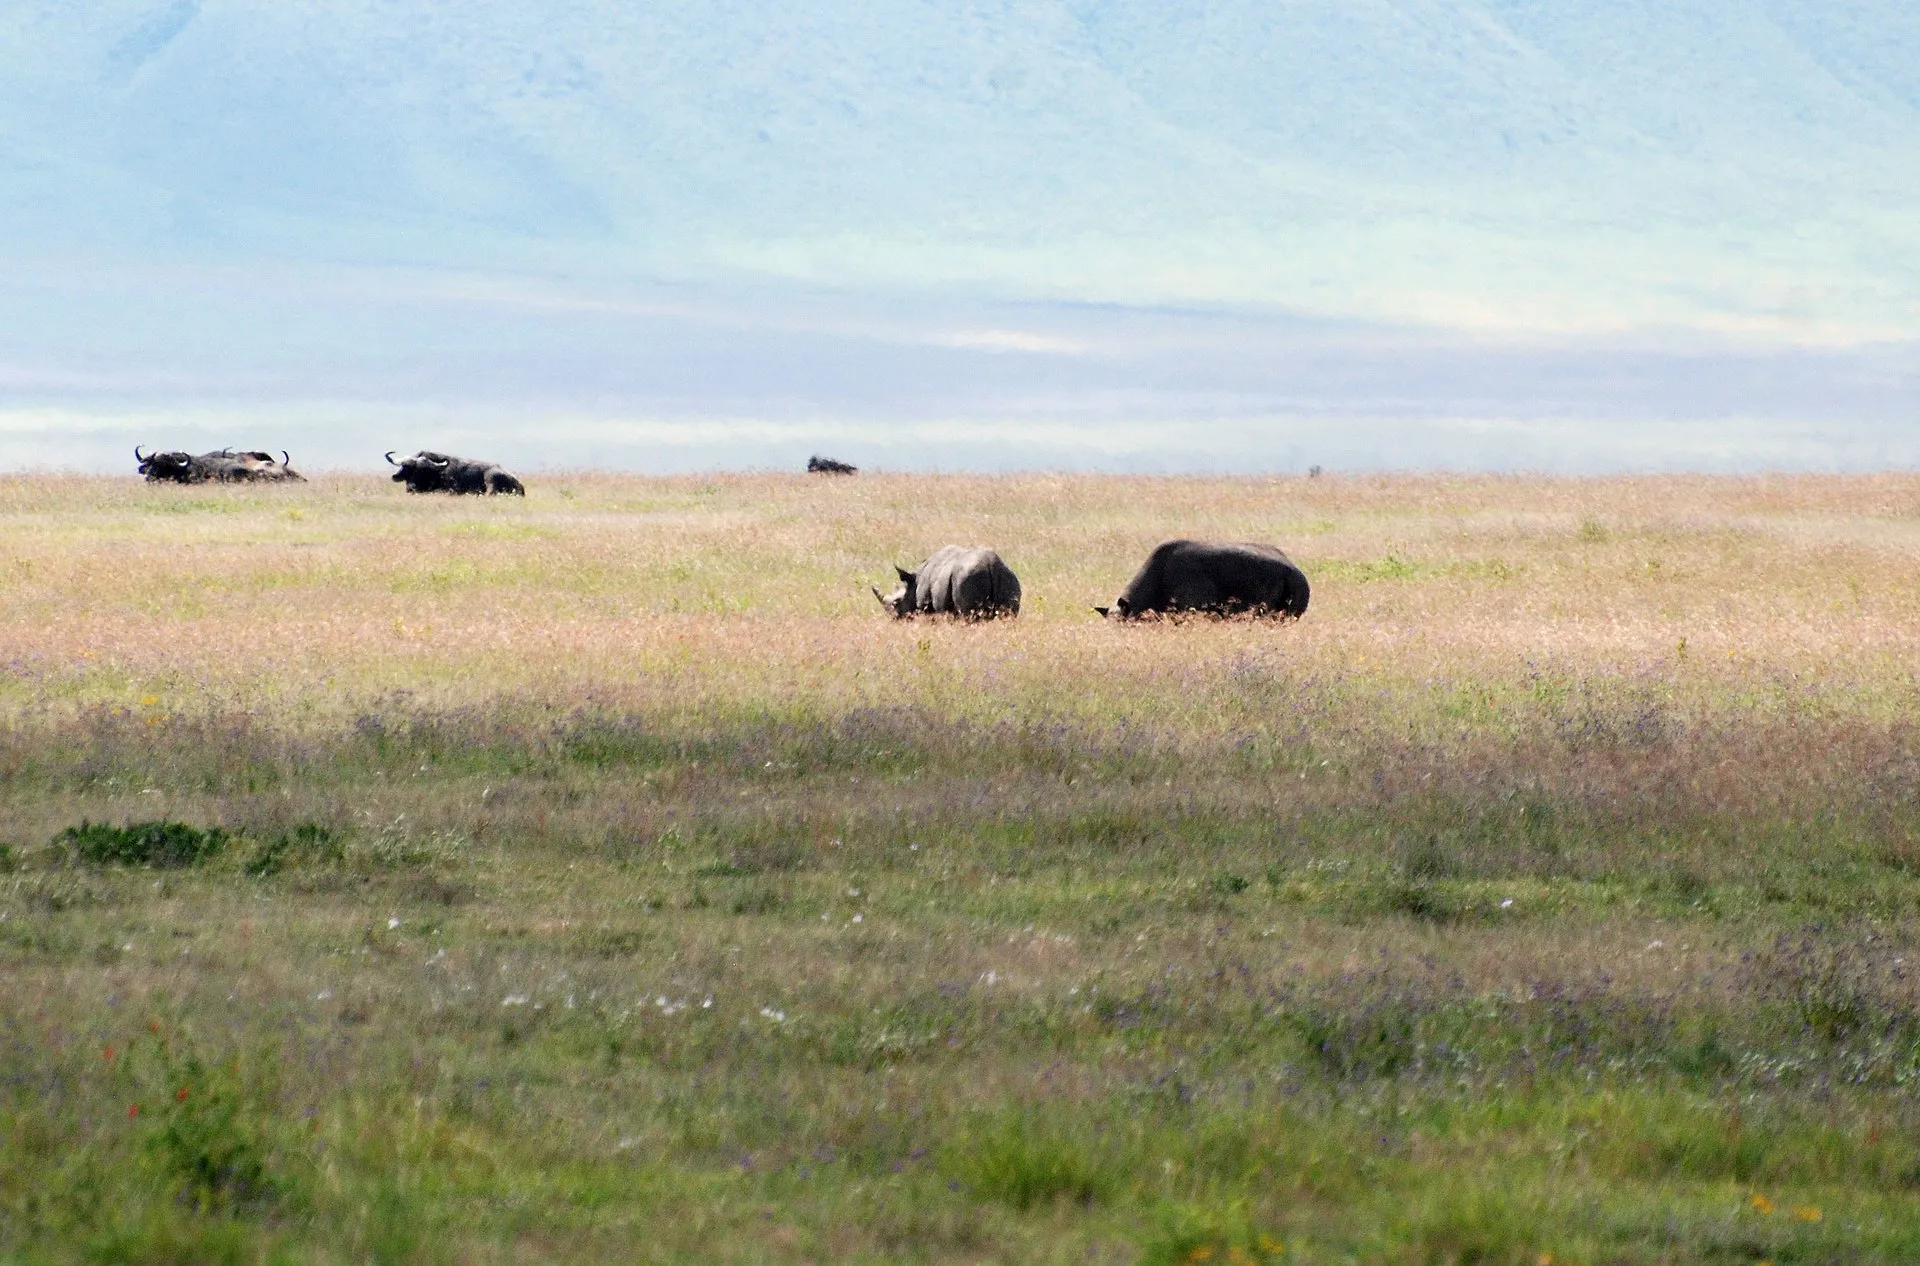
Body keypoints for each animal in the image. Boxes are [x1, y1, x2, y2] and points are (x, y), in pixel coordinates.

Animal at [874, 546, 1021, 619]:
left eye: (896, 603)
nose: (893, 618)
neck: (914, 582)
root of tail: (992, 565)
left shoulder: (926, 605)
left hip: (967, 580)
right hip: (1009, 578)